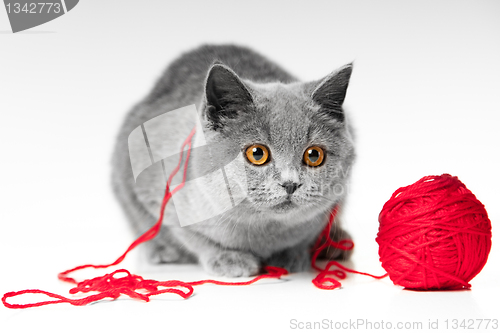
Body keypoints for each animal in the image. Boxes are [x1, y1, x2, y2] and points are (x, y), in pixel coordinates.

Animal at [112, 44, 356, 278]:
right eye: (257, 153)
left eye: (314, 155)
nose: (290, 183)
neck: (263, 230)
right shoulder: (153, 190)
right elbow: (190, 236)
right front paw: (228, 258)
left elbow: (305, 235)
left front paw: (290, 256)